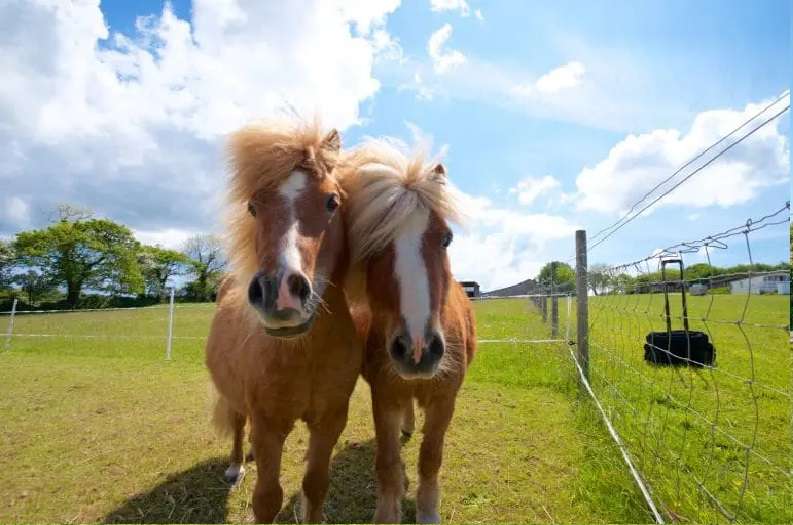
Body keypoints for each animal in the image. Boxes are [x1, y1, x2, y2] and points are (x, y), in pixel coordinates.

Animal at [207, 121, 362, 520]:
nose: (279, 291)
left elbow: (315, 485)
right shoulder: (268, 427)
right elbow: (267, 499)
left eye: (332, 201)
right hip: (232, 396)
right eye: (252, 207)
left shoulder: (330, 421)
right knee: (237, 422)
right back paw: (236, 464)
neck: (305, 353)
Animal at [342, 140, 476, 524]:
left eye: (446, 238)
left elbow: (430, 458)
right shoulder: (384, 396)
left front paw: (428, 511)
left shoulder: (445, 400)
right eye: (372, 244)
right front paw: (389, 511)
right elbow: (387, 463)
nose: (418, 349)